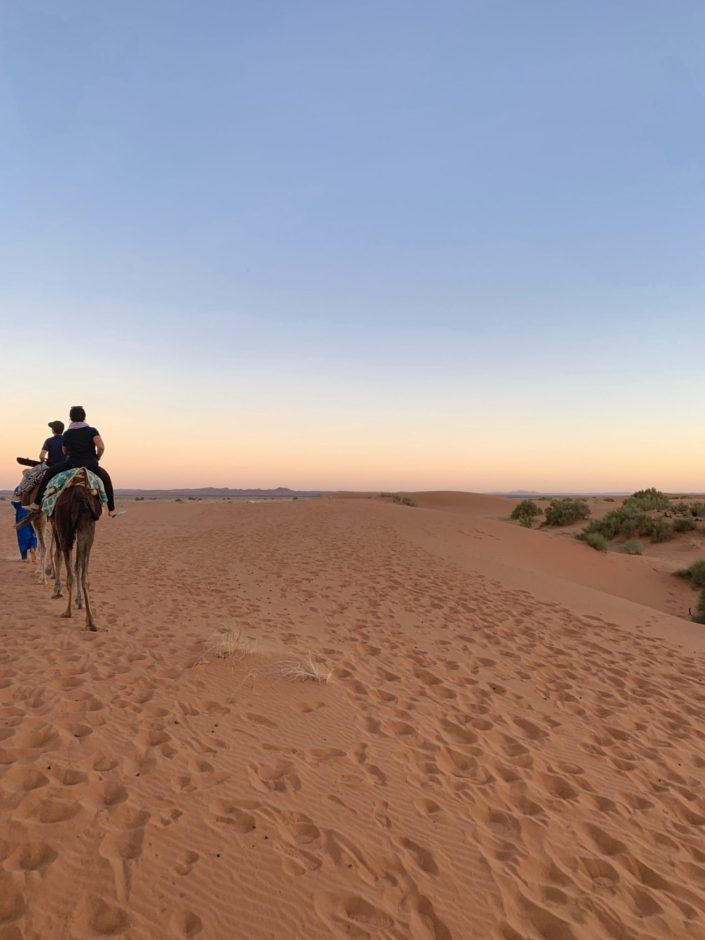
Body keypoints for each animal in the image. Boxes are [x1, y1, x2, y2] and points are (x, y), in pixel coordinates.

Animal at [49, 468, 103, 632]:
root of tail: (82, 498)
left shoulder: (56, 526)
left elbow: (58, 555)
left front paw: (56, 590)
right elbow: (77, 565)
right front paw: (79, 601)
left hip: (64, 529)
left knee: (70, 574)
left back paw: (67, 612)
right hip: (87, 527)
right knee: (84, 573)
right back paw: (90, 621)